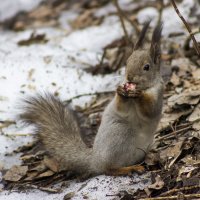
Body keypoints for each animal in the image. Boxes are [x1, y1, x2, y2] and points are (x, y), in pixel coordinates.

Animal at [19, 20, 164, 177]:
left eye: (146, 67)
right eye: (127, 62)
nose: (129, 77)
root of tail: (95, 160)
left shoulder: (158, 96)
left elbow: (150, 110)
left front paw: (140, 95)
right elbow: (121, 107)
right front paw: (120, 91)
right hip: (119, 133)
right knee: (108, 169)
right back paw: (129, 168)